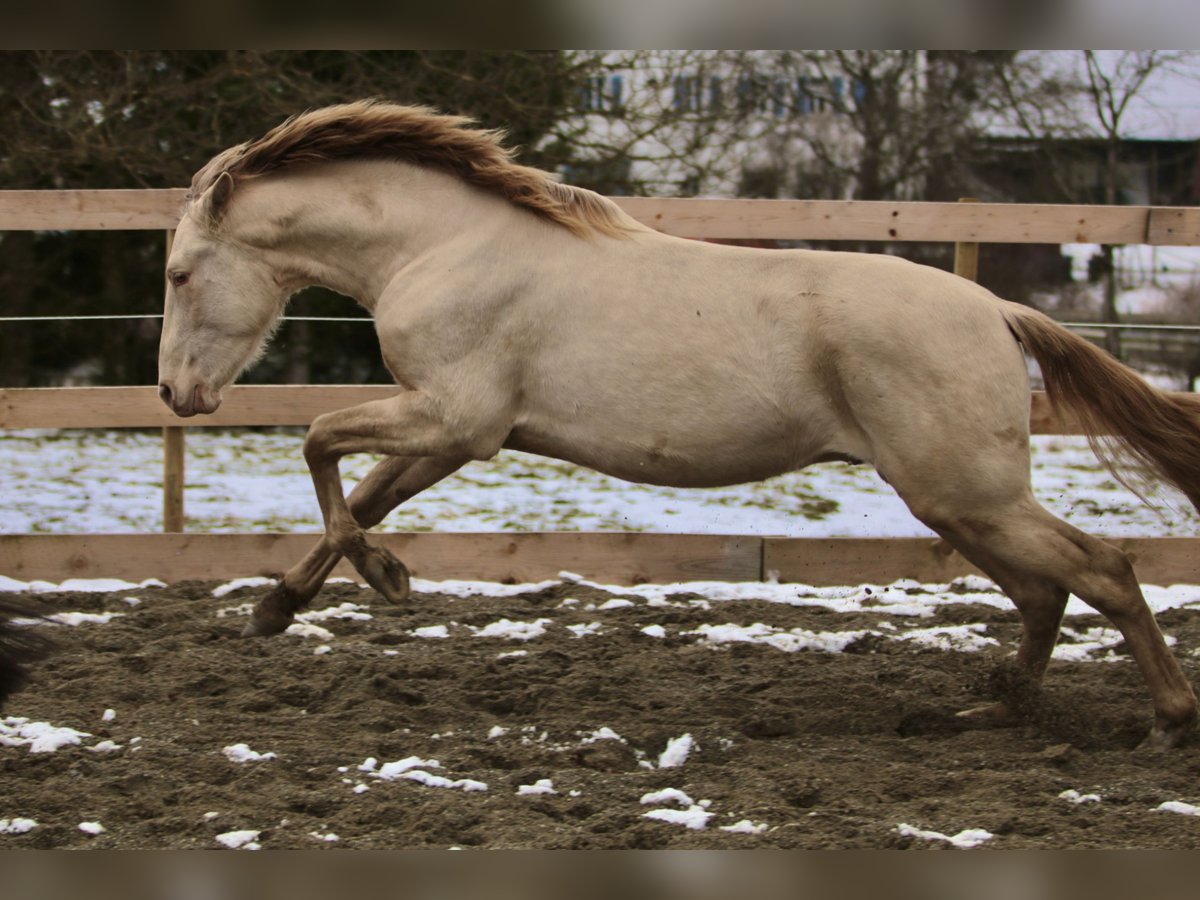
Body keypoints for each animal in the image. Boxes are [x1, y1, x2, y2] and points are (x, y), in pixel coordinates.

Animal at [159, 100, 1200, 748]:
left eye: (176, 273)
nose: (175, 394)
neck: (446, 247)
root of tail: (997, 310)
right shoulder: (452, 436)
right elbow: (366, 495)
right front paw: (283, 606)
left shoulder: (454, 420)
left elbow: (319, 442)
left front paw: (381, 579)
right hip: (954, 501)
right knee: (1044, 592)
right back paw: (1001, 710)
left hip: (964, 492)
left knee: (1102, 571)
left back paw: (1165, 720)